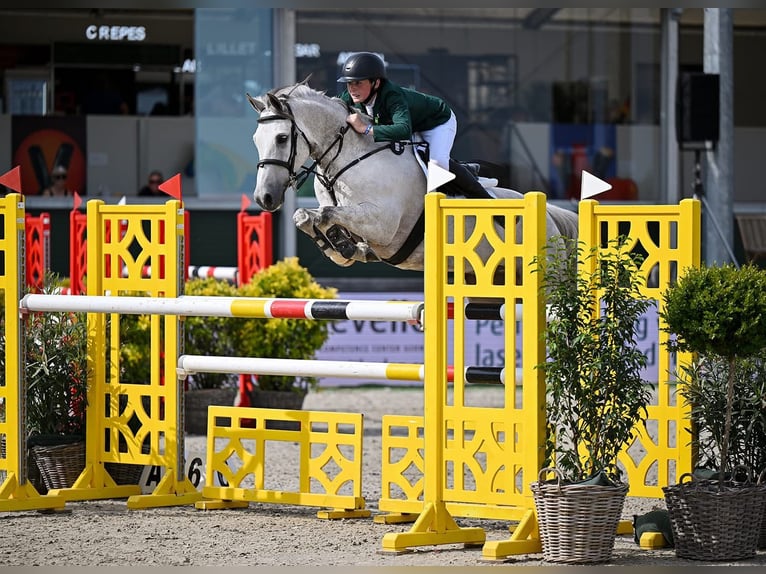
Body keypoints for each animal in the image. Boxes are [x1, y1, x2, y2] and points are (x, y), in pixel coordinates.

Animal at [246, 80, 579, 275]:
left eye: (281, 138)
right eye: (255, 139)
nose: (264, 198)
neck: (348, 156)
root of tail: (550, 214)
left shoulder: (383, 224)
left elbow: (327, 213)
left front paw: (341, 244)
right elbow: (306, 215)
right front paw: (342, 247)